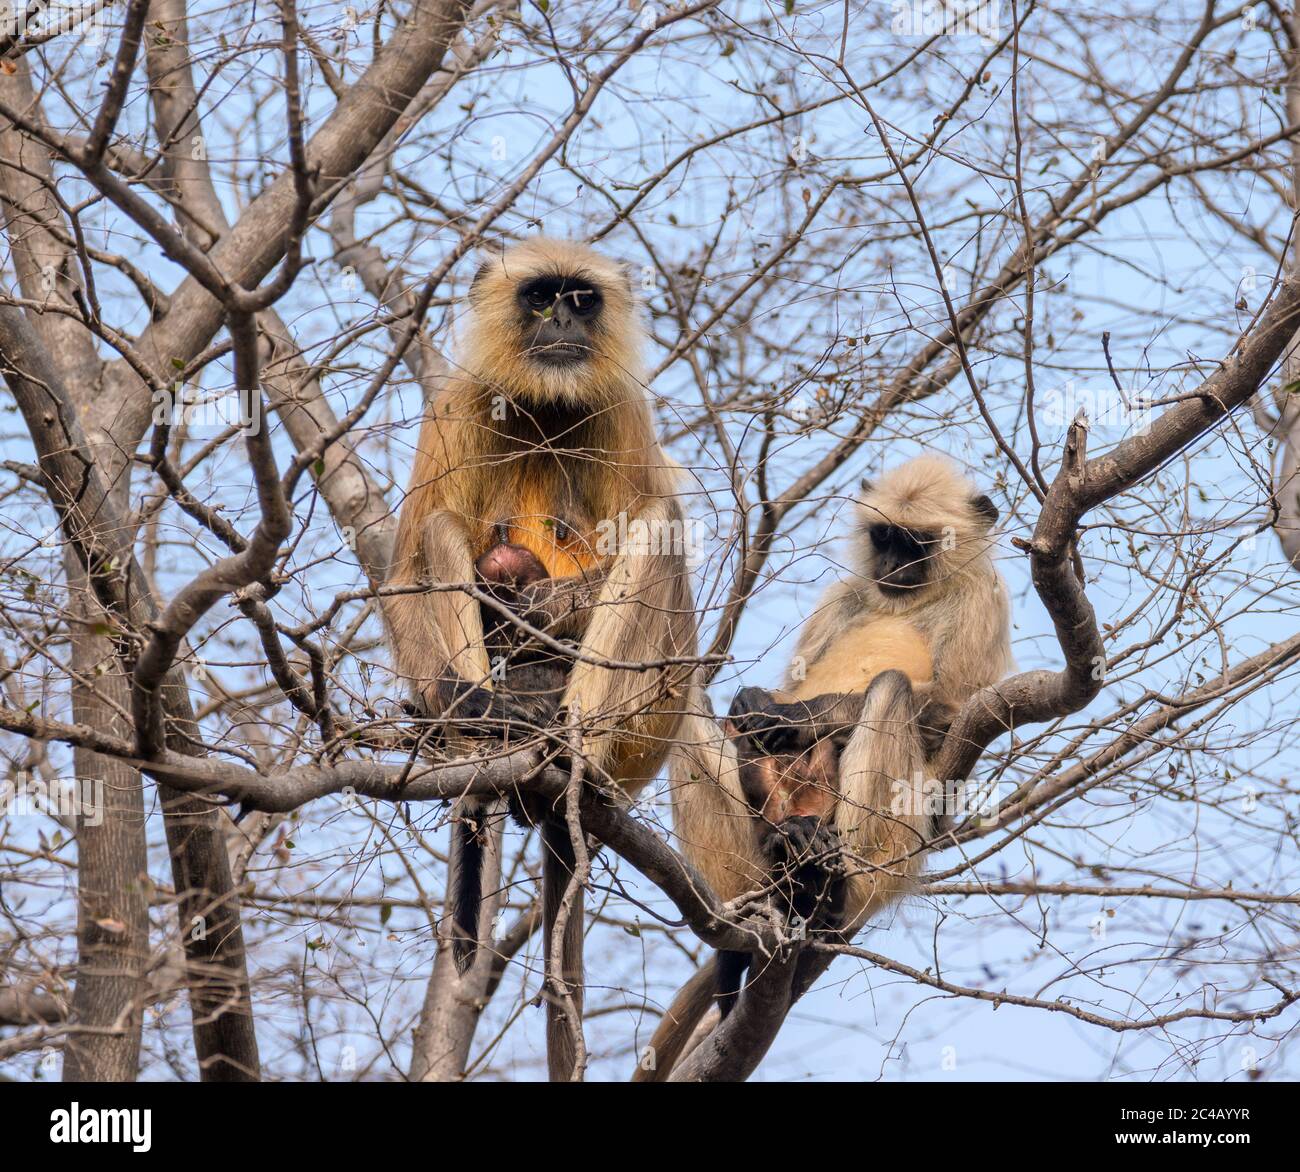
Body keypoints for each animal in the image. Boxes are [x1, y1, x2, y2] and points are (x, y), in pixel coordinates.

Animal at [387, 239, 702, 1081]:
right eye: (540, 297)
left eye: (581, 300)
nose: (563, 321)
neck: (548, 408)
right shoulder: (458, 405)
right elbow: (403, 570)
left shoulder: (624, 409)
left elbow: (653, 528)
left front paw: (537, 610)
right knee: (438, 531)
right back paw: (479, 730)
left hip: (648, 726)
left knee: (659, 525)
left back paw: (569, 747)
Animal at [639, 459, 1013, 1081]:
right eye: (883, 537)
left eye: (917, 543)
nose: (893, 566)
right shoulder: (844, 595)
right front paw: (759, 706)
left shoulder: (982, 595)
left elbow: (948, 711)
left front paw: (791, 716)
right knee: (686, 695)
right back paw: (760, 897)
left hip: (890, 845)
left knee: (892, 690)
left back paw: (828, 892)